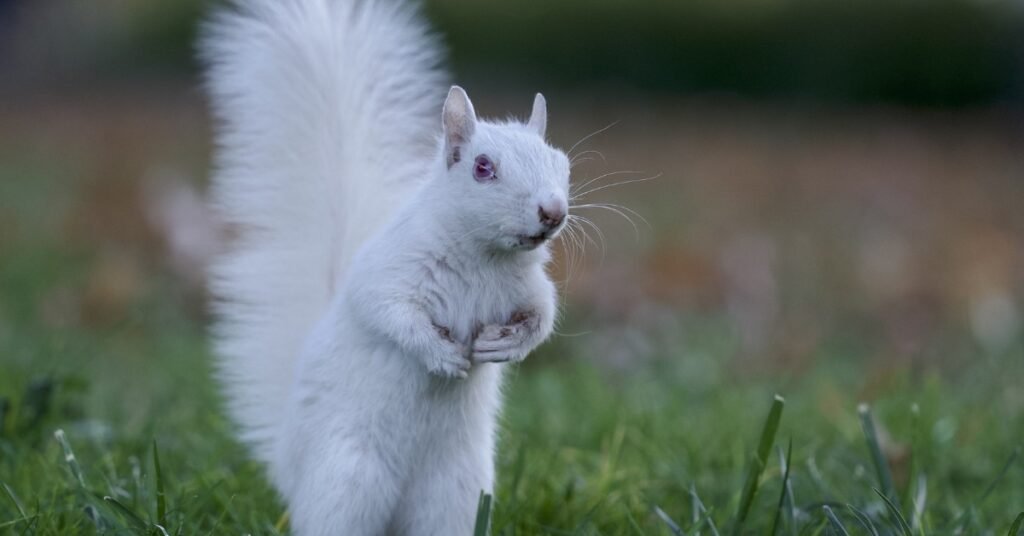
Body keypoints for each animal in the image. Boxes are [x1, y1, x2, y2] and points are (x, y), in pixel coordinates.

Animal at [201, 0, 570, 533]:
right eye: (482, 167)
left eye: (561, 162)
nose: (553, 212)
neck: (485, 259)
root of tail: (290, 463)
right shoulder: (386, 274)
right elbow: (391, 315)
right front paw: (440, 355)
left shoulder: (529, 289)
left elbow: (541, 319)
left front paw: (503, 345)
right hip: (347, 480)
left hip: (456, 493)